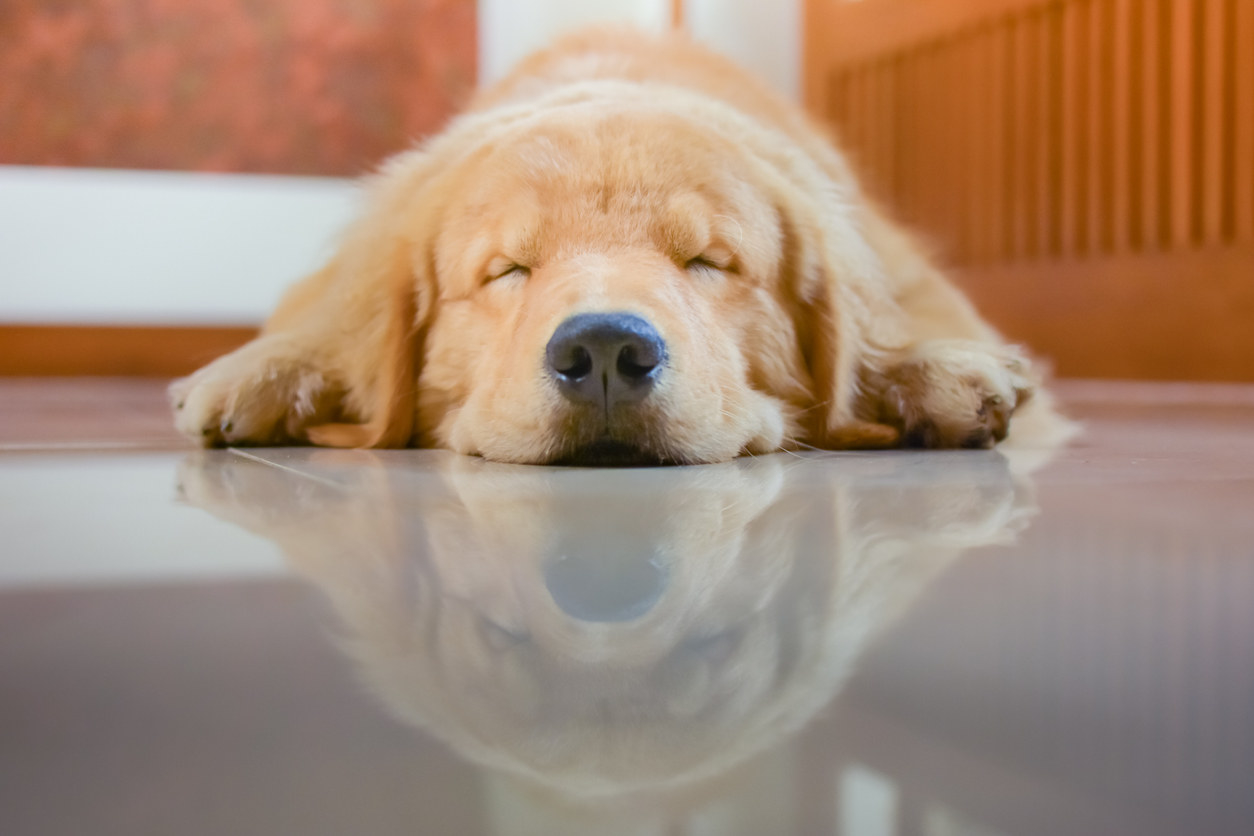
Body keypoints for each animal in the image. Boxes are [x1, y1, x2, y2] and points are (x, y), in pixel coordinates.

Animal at [174, 26, 1058, 463]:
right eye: (508, 270)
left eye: (708, 263)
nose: (604, 351)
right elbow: (328, 324)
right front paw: (266, 374)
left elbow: (895, 329)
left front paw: (925, 375)